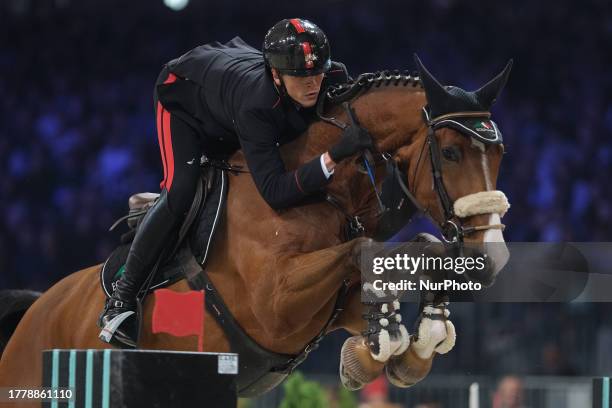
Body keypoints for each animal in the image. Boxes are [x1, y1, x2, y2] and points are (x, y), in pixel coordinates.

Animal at [0, 55, 512, 404]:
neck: (323, 192)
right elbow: (364, 248)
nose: (491, 255)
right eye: (450, 153)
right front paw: (388, 340)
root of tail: (35, 311)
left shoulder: (326, 307)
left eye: (500, 153)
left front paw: (405, 346)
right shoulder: (275, 302)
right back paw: (118, 313)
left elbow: (412, 250)